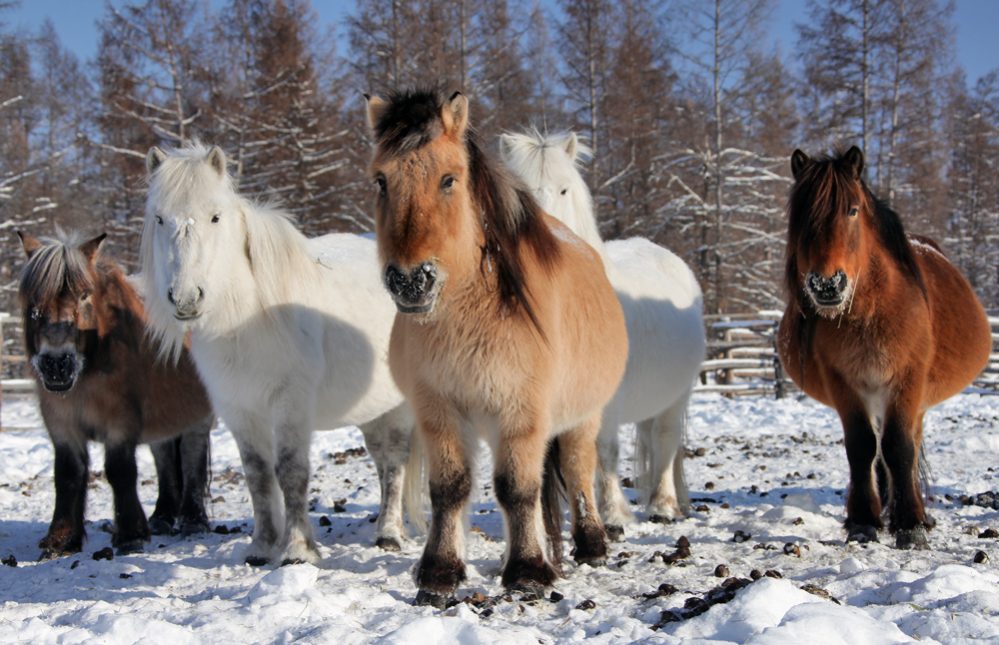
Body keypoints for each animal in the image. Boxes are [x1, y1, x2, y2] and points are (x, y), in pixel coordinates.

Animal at [16, 231, 214, 558]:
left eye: (84, 295)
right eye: (33, 302)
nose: (56, 364)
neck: (87, 374)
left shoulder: (120, 423)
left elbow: (120, 471)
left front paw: (131, 535)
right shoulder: (63, 426)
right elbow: (67, 475)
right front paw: (61, 540)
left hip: (197, 417)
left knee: (191, 457)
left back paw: (193, 520)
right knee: (163, 457)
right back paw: (162, 516)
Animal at [141, 142, 421, 566]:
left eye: (215, 217)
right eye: (159, 218)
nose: (187, 298)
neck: (246, 321)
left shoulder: (290, 405)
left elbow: (290, 471)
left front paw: (297, 550)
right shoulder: (240, 410)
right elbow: (257, 475)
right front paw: (261, 547)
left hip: (401, 406)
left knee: (396, 460)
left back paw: (388, 533)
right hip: (372, 411)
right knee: (381, 459)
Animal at [366, 88, 629, 606]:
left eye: (449, 179)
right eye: (381, 180)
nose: (410, 280)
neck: (473, 313)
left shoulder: (522, 412)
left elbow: (517, 489)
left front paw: (527, 572)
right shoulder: (438, 409)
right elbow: (450, 489)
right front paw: (439, 574)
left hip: (581, 416)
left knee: (578, 469)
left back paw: (591, 544)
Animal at [500, 129, 706, 537]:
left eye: (564, 189)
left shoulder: (607, 402)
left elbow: (605, 451)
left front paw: (612, 516)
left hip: (677, 396)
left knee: (665, 441)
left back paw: (663, 506)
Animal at [777, 146, 992, 549]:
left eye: (852, 210)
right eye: (800, 215)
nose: (826, 285)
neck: (871, 314)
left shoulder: (908, 380)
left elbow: (899, 448)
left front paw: (910, 525)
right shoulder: (843, 381)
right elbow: (862, 447)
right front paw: (864, 522)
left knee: (907, 445)